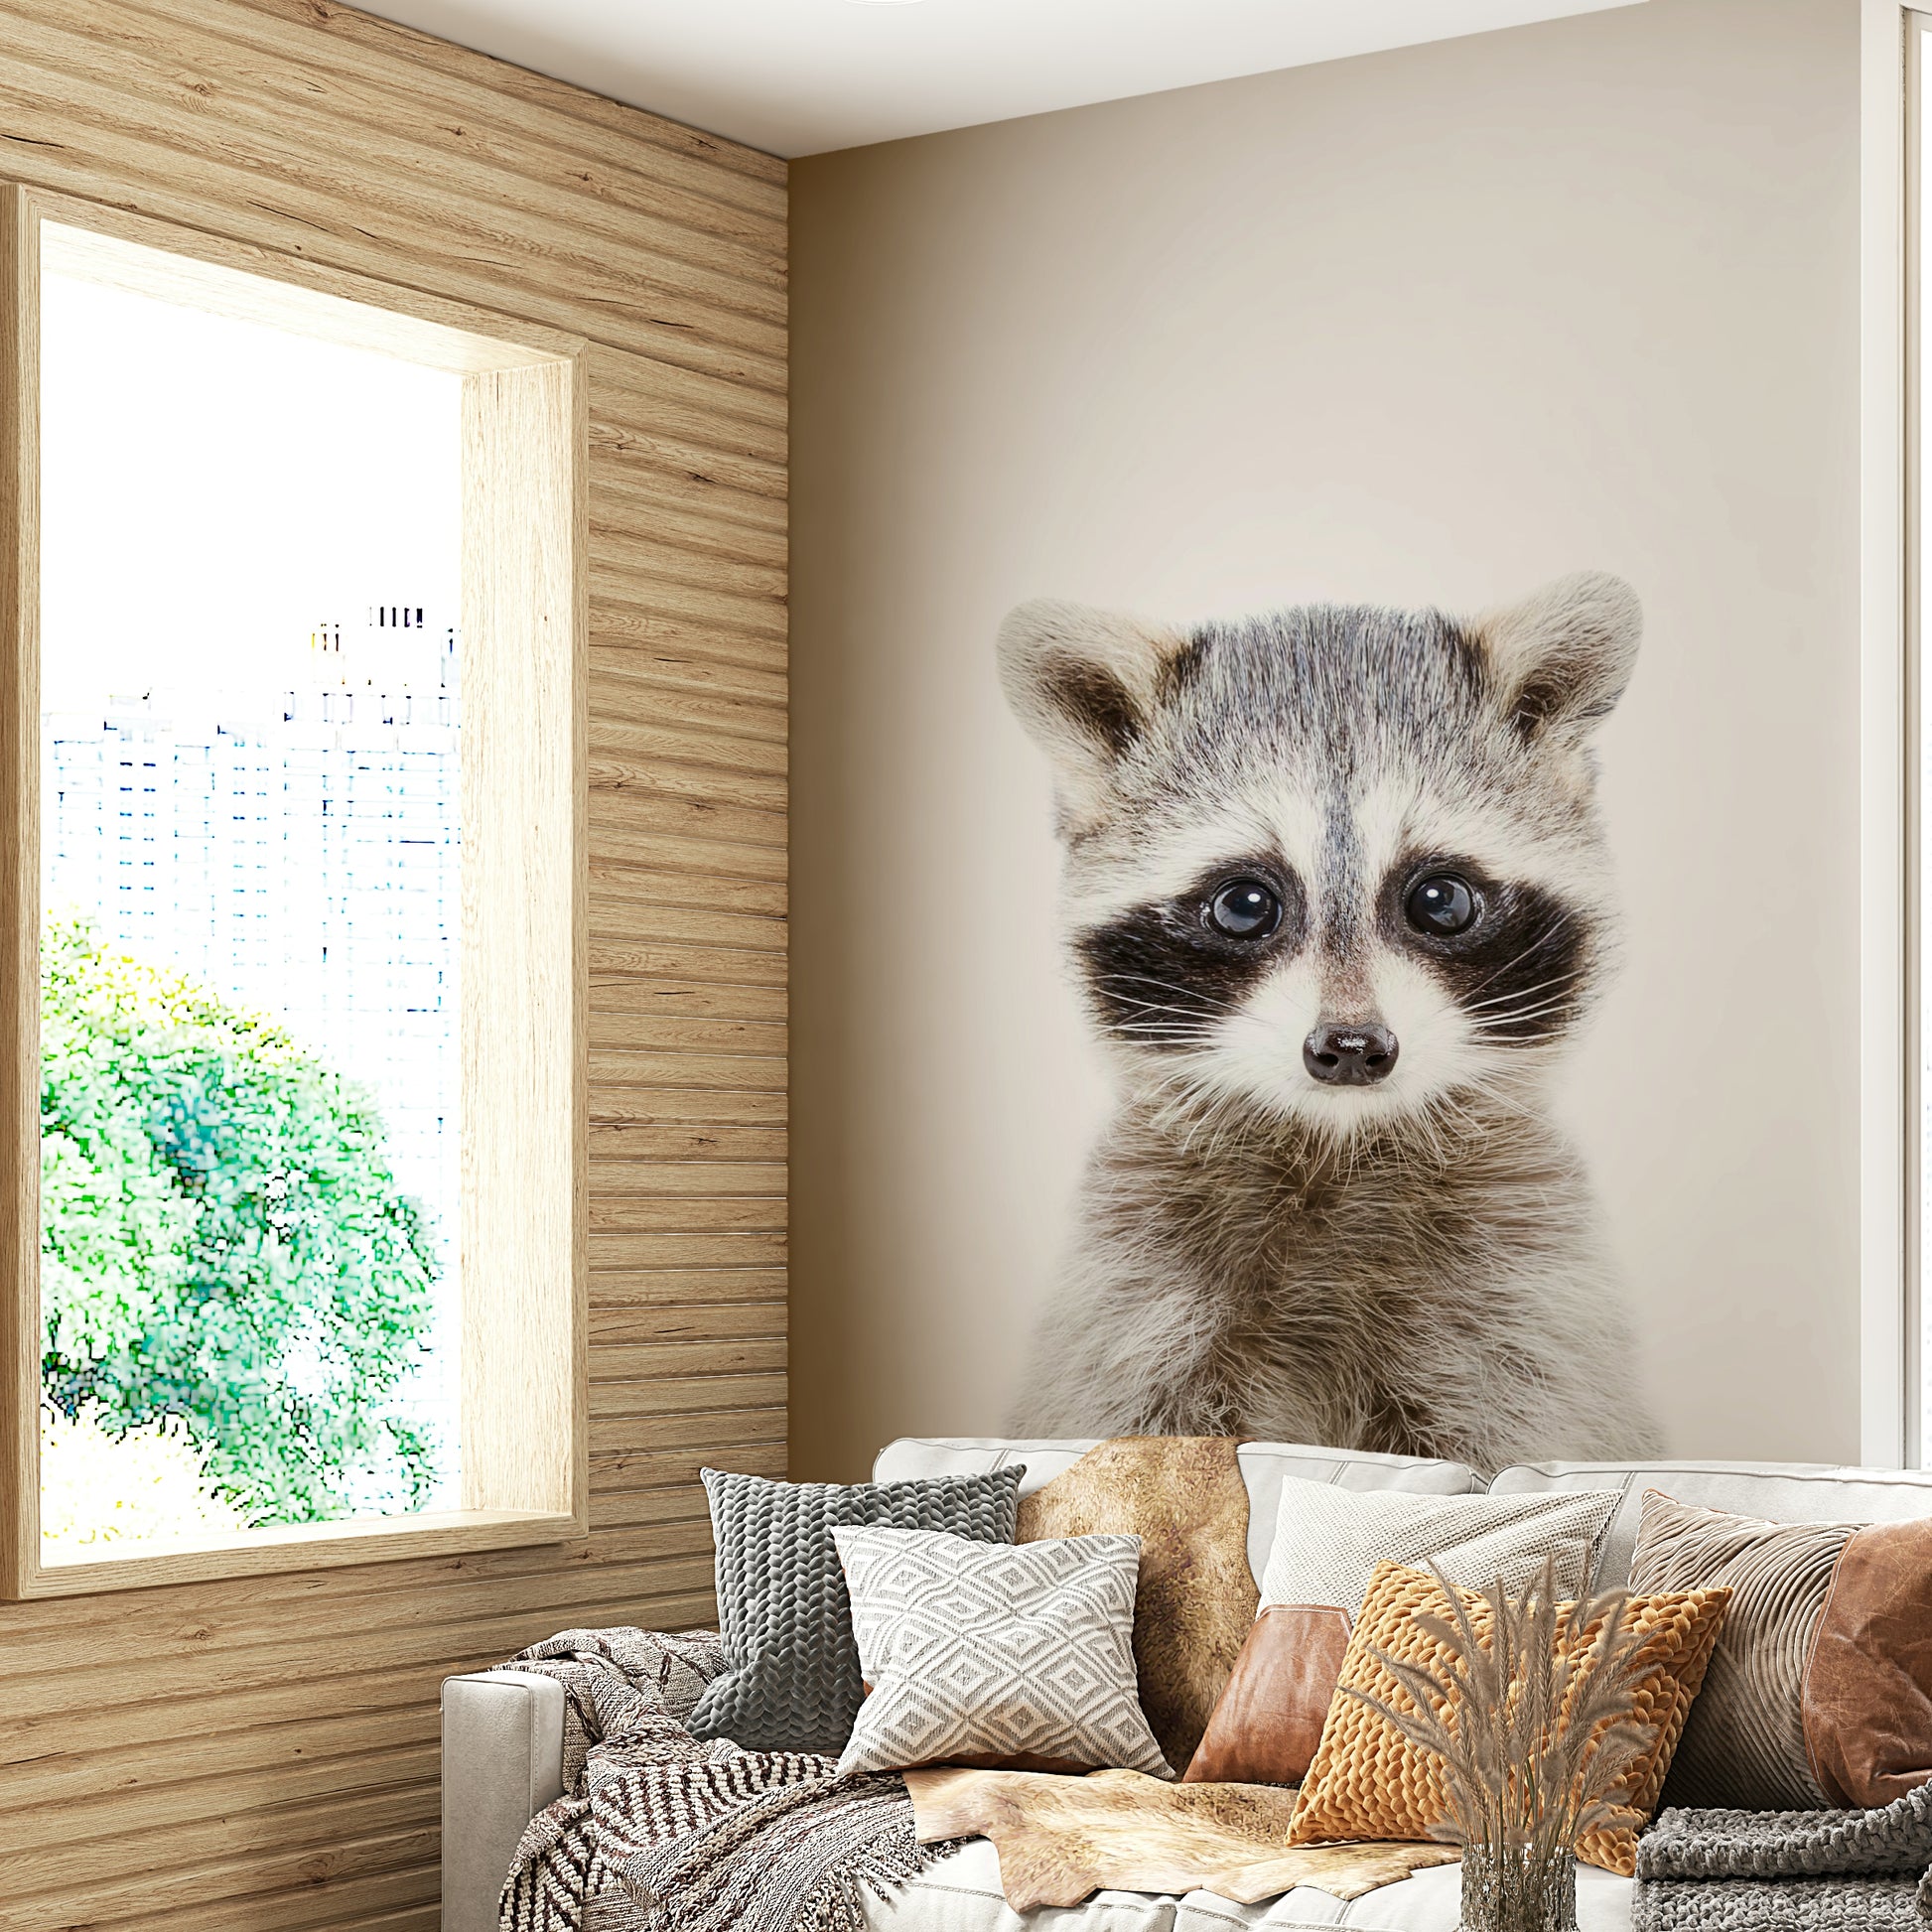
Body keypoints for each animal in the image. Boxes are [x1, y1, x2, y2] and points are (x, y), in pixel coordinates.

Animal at [998, 572, 1661, 1472]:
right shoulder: (1137, 1295)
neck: (1334, 1146)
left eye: (1440, 900)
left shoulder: (1522, 1298)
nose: (1351, 1048)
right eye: (1245, 904)